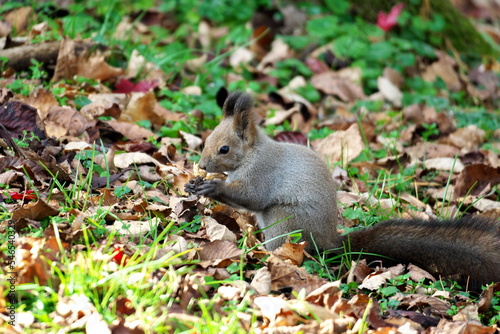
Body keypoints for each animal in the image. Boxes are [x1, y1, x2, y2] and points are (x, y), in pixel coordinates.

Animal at [185, 92, 500, 292]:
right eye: (207, 140)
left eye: (224, 149)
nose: (203, 165)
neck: (252, 154)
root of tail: (331, 244)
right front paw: (192, 184)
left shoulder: (263, 172)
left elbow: (252, 197)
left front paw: (212, 186)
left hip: (284, 222)